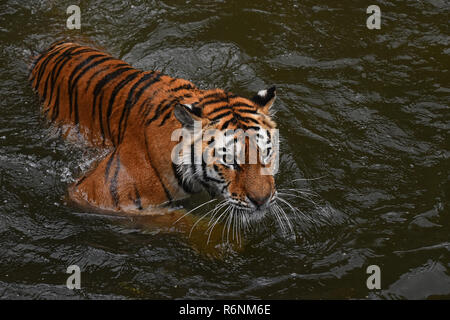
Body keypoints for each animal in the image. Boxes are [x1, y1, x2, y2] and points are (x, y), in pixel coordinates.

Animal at [29, 40, 278, 228]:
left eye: (266, 155)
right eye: (230, 162)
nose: (262, 200)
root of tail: (58, 45)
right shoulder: (94, 195)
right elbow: (176, 219)